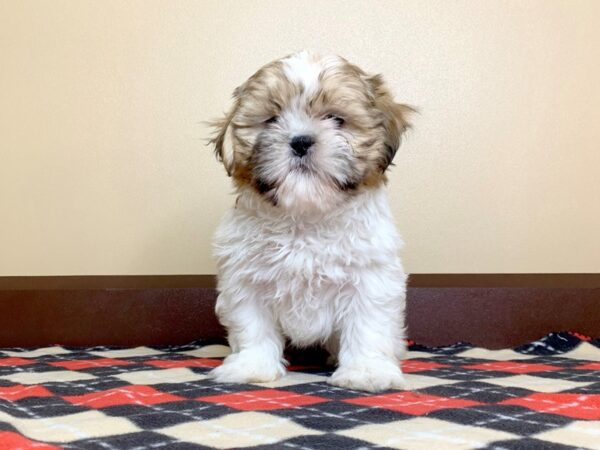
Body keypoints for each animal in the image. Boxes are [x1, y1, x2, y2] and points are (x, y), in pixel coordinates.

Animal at [209, 51, 410, 390]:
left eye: (336, 119)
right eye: (272, 119)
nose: (301, 141)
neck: (305, 218)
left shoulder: (370, 277)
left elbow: (367, 324)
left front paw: (367, 371)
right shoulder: (246, 280)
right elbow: (253, 325)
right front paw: (252, 366)